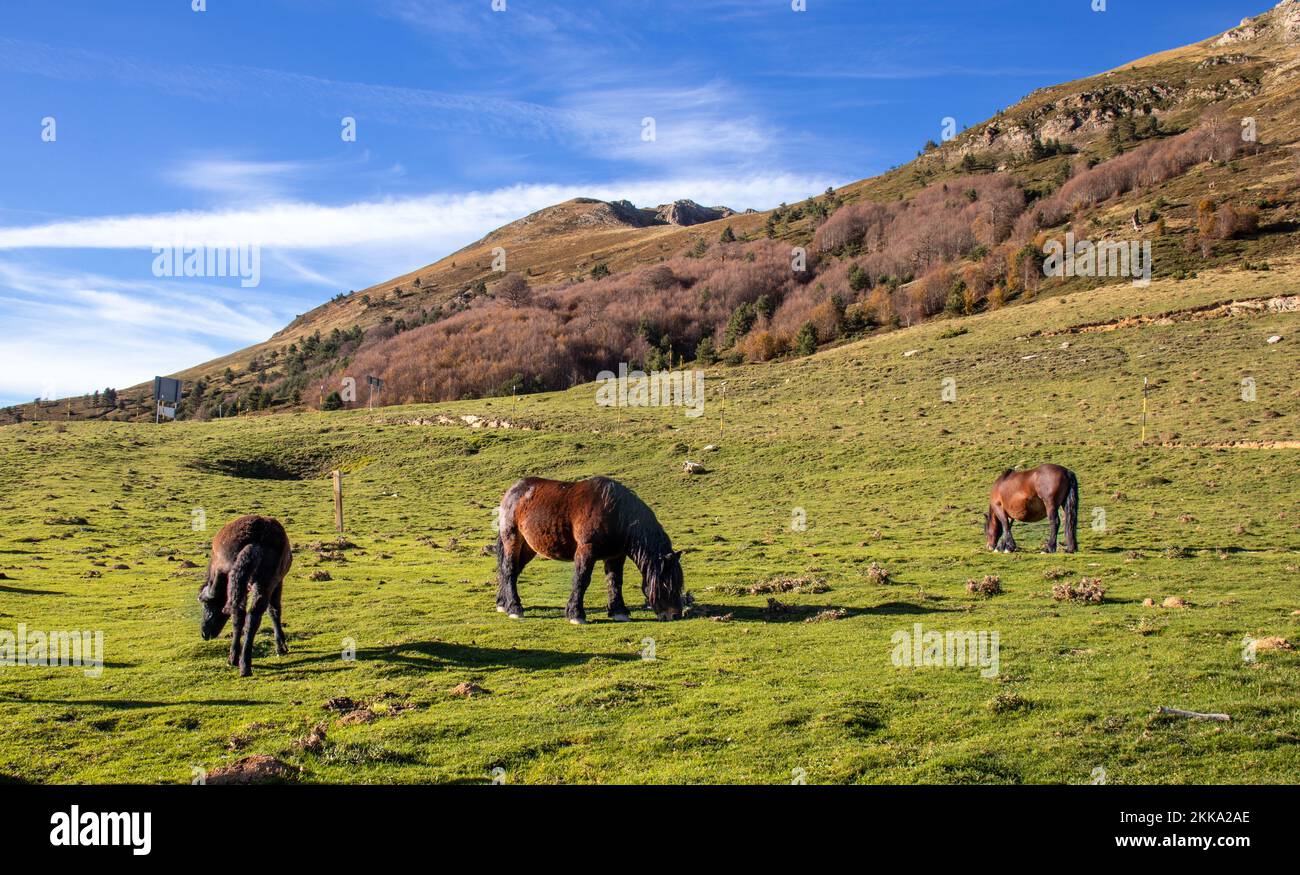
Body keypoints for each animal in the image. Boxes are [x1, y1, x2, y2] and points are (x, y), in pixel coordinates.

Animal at [197, 512, 292, 676]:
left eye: (205, 603)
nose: (204, 633)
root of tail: (253, 540)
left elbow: (273, 611)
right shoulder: (276, 582)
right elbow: (273, 611)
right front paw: (281, 646)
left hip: (247, 583)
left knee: (242, 615)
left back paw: (237, 660)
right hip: (263, 583)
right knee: (250, 617)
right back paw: (243, 662)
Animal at [491, 478, 686, 621]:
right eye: (665, 584)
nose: (675, 615)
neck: (615, 513)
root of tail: (513, 491)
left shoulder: (616, 555)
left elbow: (615, 581)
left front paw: (619, 612)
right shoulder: (586, 550)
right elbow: (582, 580)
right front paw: (576, 614)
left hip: (529, 547)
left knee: (512, 572)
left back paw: (503, 603)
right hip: (512, 540)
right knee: (509, 570)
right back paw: (515, 608)